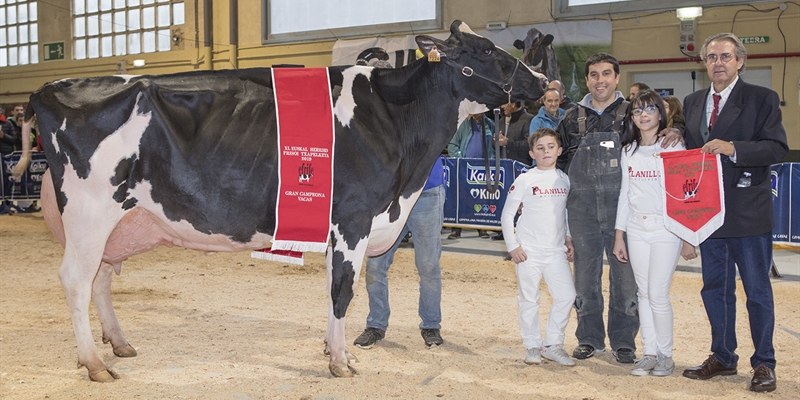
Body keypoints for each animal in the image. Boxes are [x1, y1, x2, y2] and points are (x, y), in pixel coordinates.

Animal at [15, 21, 548, 382]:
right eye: (485, 51)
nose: (544, 83)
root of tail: (49, 88)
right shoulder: (353, 218)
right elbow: (343, 291)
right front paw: (341, 363)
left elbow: (335, 292)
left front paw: (337, 352)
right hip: (90, 210)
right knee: (76, 279)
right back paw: (94, 363)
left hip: (118, 222)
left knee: (101, 277)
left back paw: (120, 345)